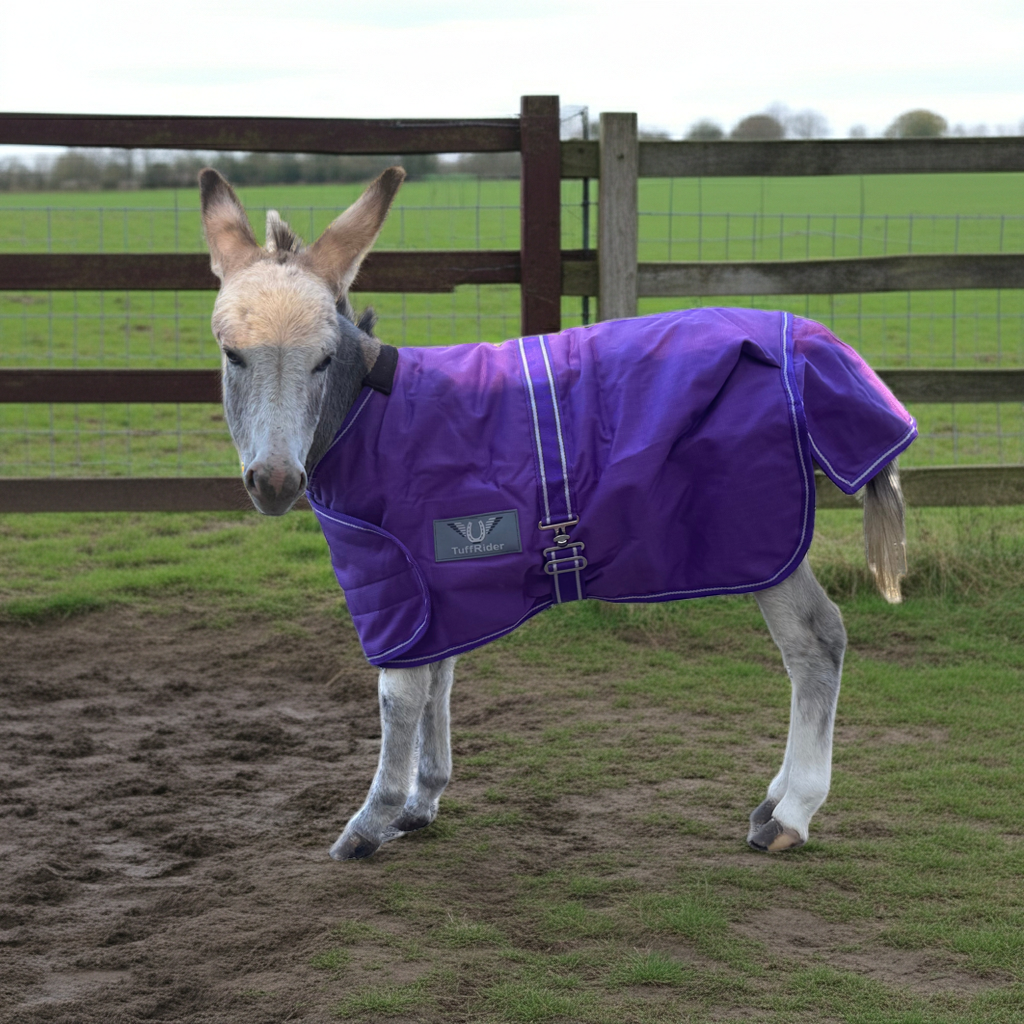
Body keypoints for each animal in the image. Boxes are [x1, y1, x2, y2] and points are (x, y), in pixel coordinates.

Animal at [199, 166, 915, 861]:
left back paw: (792, 814)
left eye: (322, 359)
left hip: (761, 533)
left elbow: (398, 695)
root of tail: (810, 345)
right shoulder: (434, 588)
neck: (367, 415)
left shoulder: (393, 585)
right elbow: (439, 679)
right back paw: (775, 801)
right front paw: (420, 803)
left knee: (816, 640)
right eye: (232, 354)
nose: (274, 481)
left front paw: (370, 822)